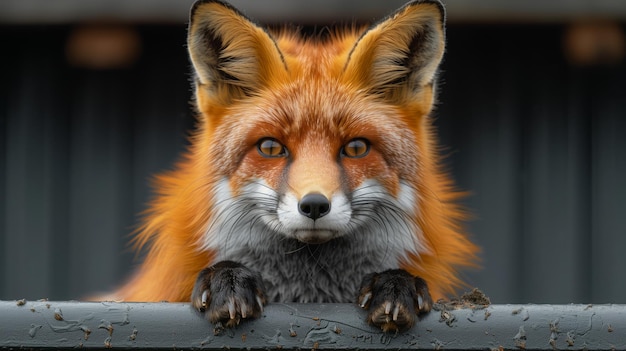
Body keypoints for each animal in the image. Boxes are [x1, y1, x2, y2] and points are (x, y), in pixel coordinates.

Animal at [102, 0, 478, 332]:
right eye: (270, 147)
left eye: (356, 148)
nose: (314, 206)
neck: (307, 291)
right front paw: (227, 277)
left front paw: (395, 283)